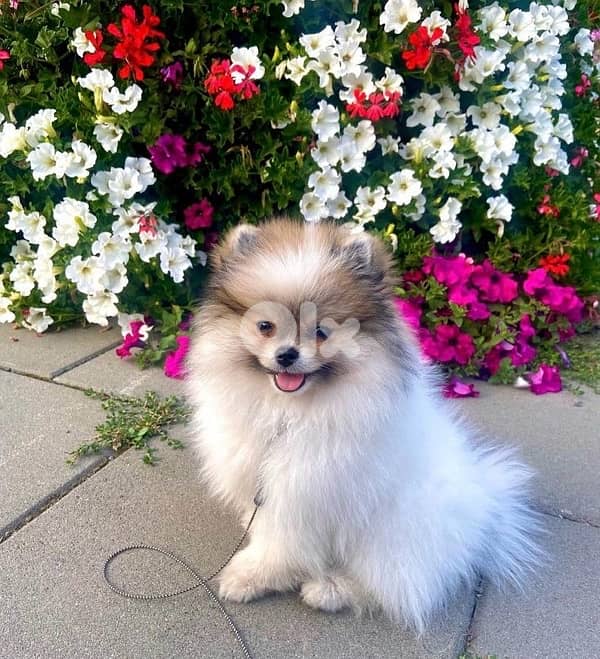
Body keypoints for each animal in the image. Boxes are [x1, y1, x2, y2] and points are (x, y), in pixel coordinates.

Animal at [187, 217, 541, 630]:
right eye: (265, 326)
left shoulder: (301, 495)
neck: (289, 412)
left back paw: (330, 589)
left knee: (395, 583)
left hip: (393, 535)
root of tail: (483, 513)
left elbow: (281, 545)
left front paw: (250, 576)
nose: (287, 354)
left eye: (321, 332)